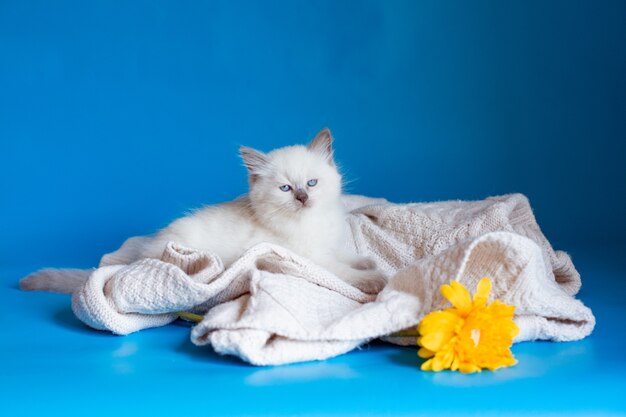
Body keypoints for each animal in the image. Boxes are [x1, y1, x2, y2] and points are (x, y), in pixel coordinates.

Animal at [20, 128, 386, 294]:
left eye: (311, 183)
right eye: (285, 188)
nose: (302, 198)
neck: (309, 225)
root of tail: (140, 255)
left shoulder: (330, 247)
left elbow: (350, 258)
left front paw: (369, 262)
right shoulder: (311, 259)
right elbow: (343, 272)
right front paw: (375, 278)